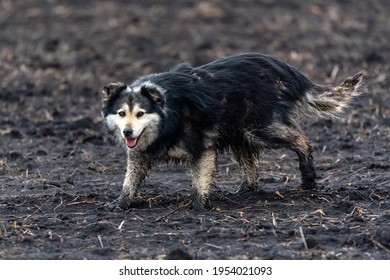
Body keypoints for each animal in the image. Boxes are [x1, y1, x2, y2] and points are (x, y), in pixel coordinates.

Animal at [101, 53, 366, 210]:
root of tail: (288, 70)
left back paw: (308, 178)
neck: (167, 112)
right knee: (251, 165)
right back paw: (246, 189)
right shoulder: (139, 152)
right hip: (241, 133)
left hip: (260, 128)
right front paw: (119, 203)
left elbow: (200, 179)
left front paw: (199, 206)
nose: (127, 133)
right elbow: (129, 179)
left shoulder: (202, 146)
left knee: (302, 141)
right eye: (121, 113)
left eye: (141, 113)